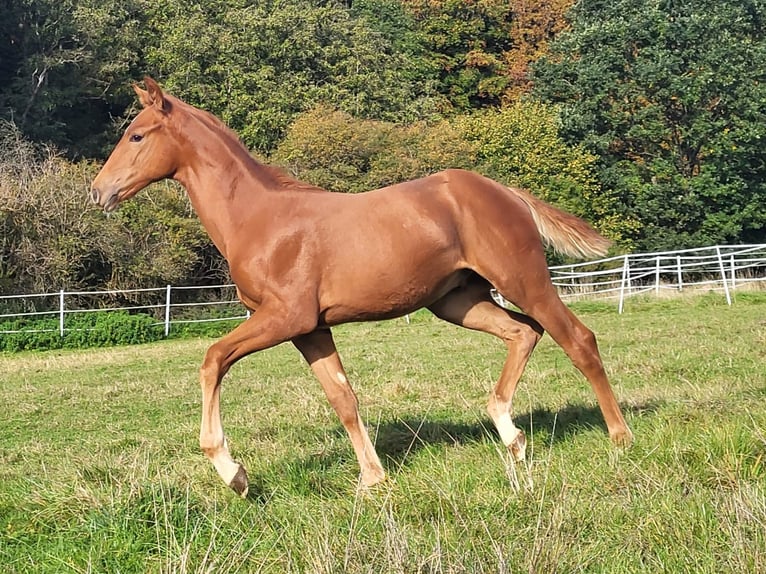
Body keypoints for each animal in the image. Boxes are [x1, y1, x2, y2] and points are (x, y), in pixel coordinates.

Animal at [90, 79, 632, 498]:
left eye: (137, 135)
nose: (98, 192)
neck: (259, 219)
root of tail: (506, 192)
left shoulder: (284, 317)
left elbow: (212, 359)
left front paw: (233, 473)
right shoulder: (310, 330)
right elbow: (343, 398)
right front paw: (373, 478)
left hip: (523, 281)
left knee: (577, 339)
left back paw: (619, 438)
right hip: (458, 300)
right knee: (523, 333)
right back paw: (510, 434)